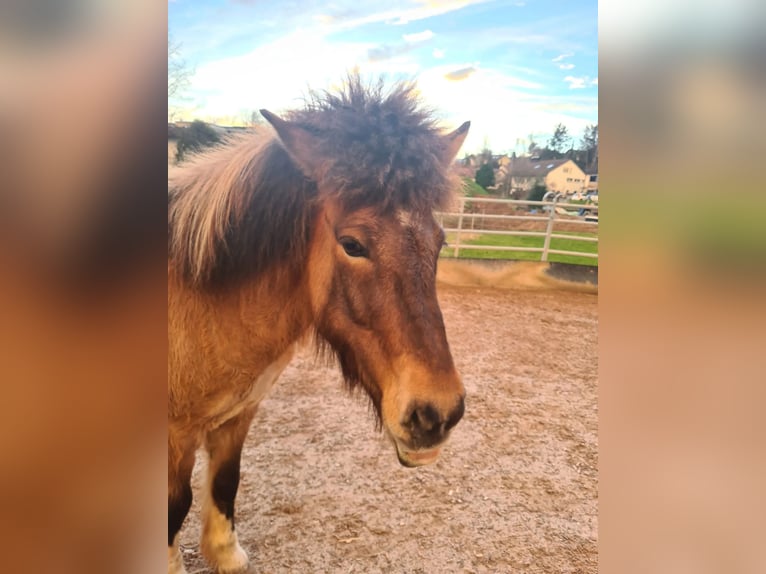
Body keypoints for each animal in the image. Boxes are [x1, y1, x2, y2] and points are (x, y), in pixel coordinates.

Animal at [166, 77, 468, 574]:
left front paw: (226, 553)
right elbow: (175, 508)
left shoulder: (239, 415)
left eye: (439, 242)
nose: (437, 414)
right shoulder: (175, 435)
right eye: (352, 244)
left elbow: (226, 481)